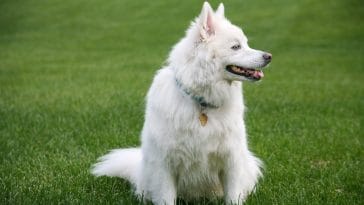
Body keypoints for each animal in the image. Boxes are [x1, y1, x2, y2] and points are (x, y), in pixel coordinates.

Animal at [92, 2, 272, 205]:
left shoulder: (231, 160)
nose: (269, 56)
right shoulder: (165, 165)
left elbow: (233, 196)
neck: (201, 102)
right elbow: (166, 198)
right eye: (236, 46)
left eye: (246, 43)